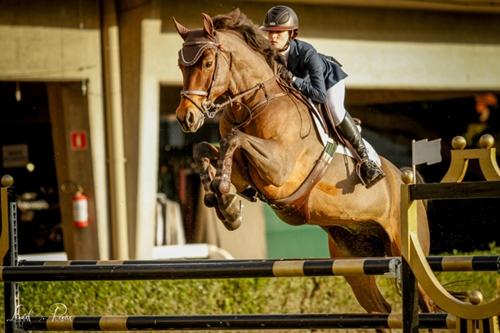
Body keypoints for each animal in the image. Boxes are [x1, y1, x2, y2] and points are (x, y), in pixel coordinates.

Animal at [173, 7, 434, 320]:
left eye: (208, 63)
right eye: (180, 64)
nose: (186, 118)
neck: (253, 103)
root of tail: (407, 181)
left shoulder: (280, 170)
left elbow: (233, 140)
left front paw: (226, 200)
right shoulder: (244, 171)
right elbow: (205, 149)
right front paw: (225, 204)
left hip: (406, 249)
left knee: (429, 302)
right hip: (354, 258)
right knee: (380, 308)